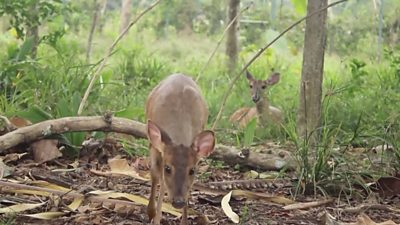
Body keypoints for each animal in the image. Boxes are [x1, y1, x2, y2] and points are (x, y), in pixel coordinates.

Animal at [145, 73, 216, 224]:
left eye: (192, 170)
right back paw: (151, 212)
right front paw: (156, 218)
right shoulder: (158, 148)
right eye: (168, 168)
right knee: (155, 175)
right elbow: (161, 181)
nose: (178, 202)